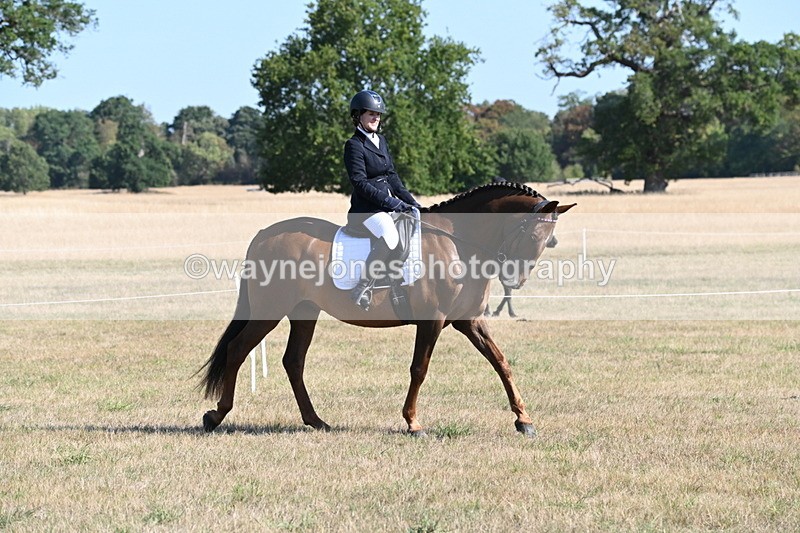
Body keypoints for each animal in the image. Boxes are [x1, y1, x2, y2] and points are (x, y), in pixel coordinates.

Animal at [198, 182, 575, 437]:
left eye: (546, 242)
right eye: (533, 236)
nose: (515, 279)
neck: (459, 245)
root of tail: (264, 233)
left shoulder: (469, 321)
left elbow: (501, 362)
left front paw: (524, 420)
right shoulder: (432, 320)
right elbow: (419, 369)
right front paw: (413, 423)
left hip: (305, 312)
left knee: (293, 361)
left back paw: (316, 420)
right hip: (270, 310)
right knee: (238, 349)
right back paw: (216, 415)